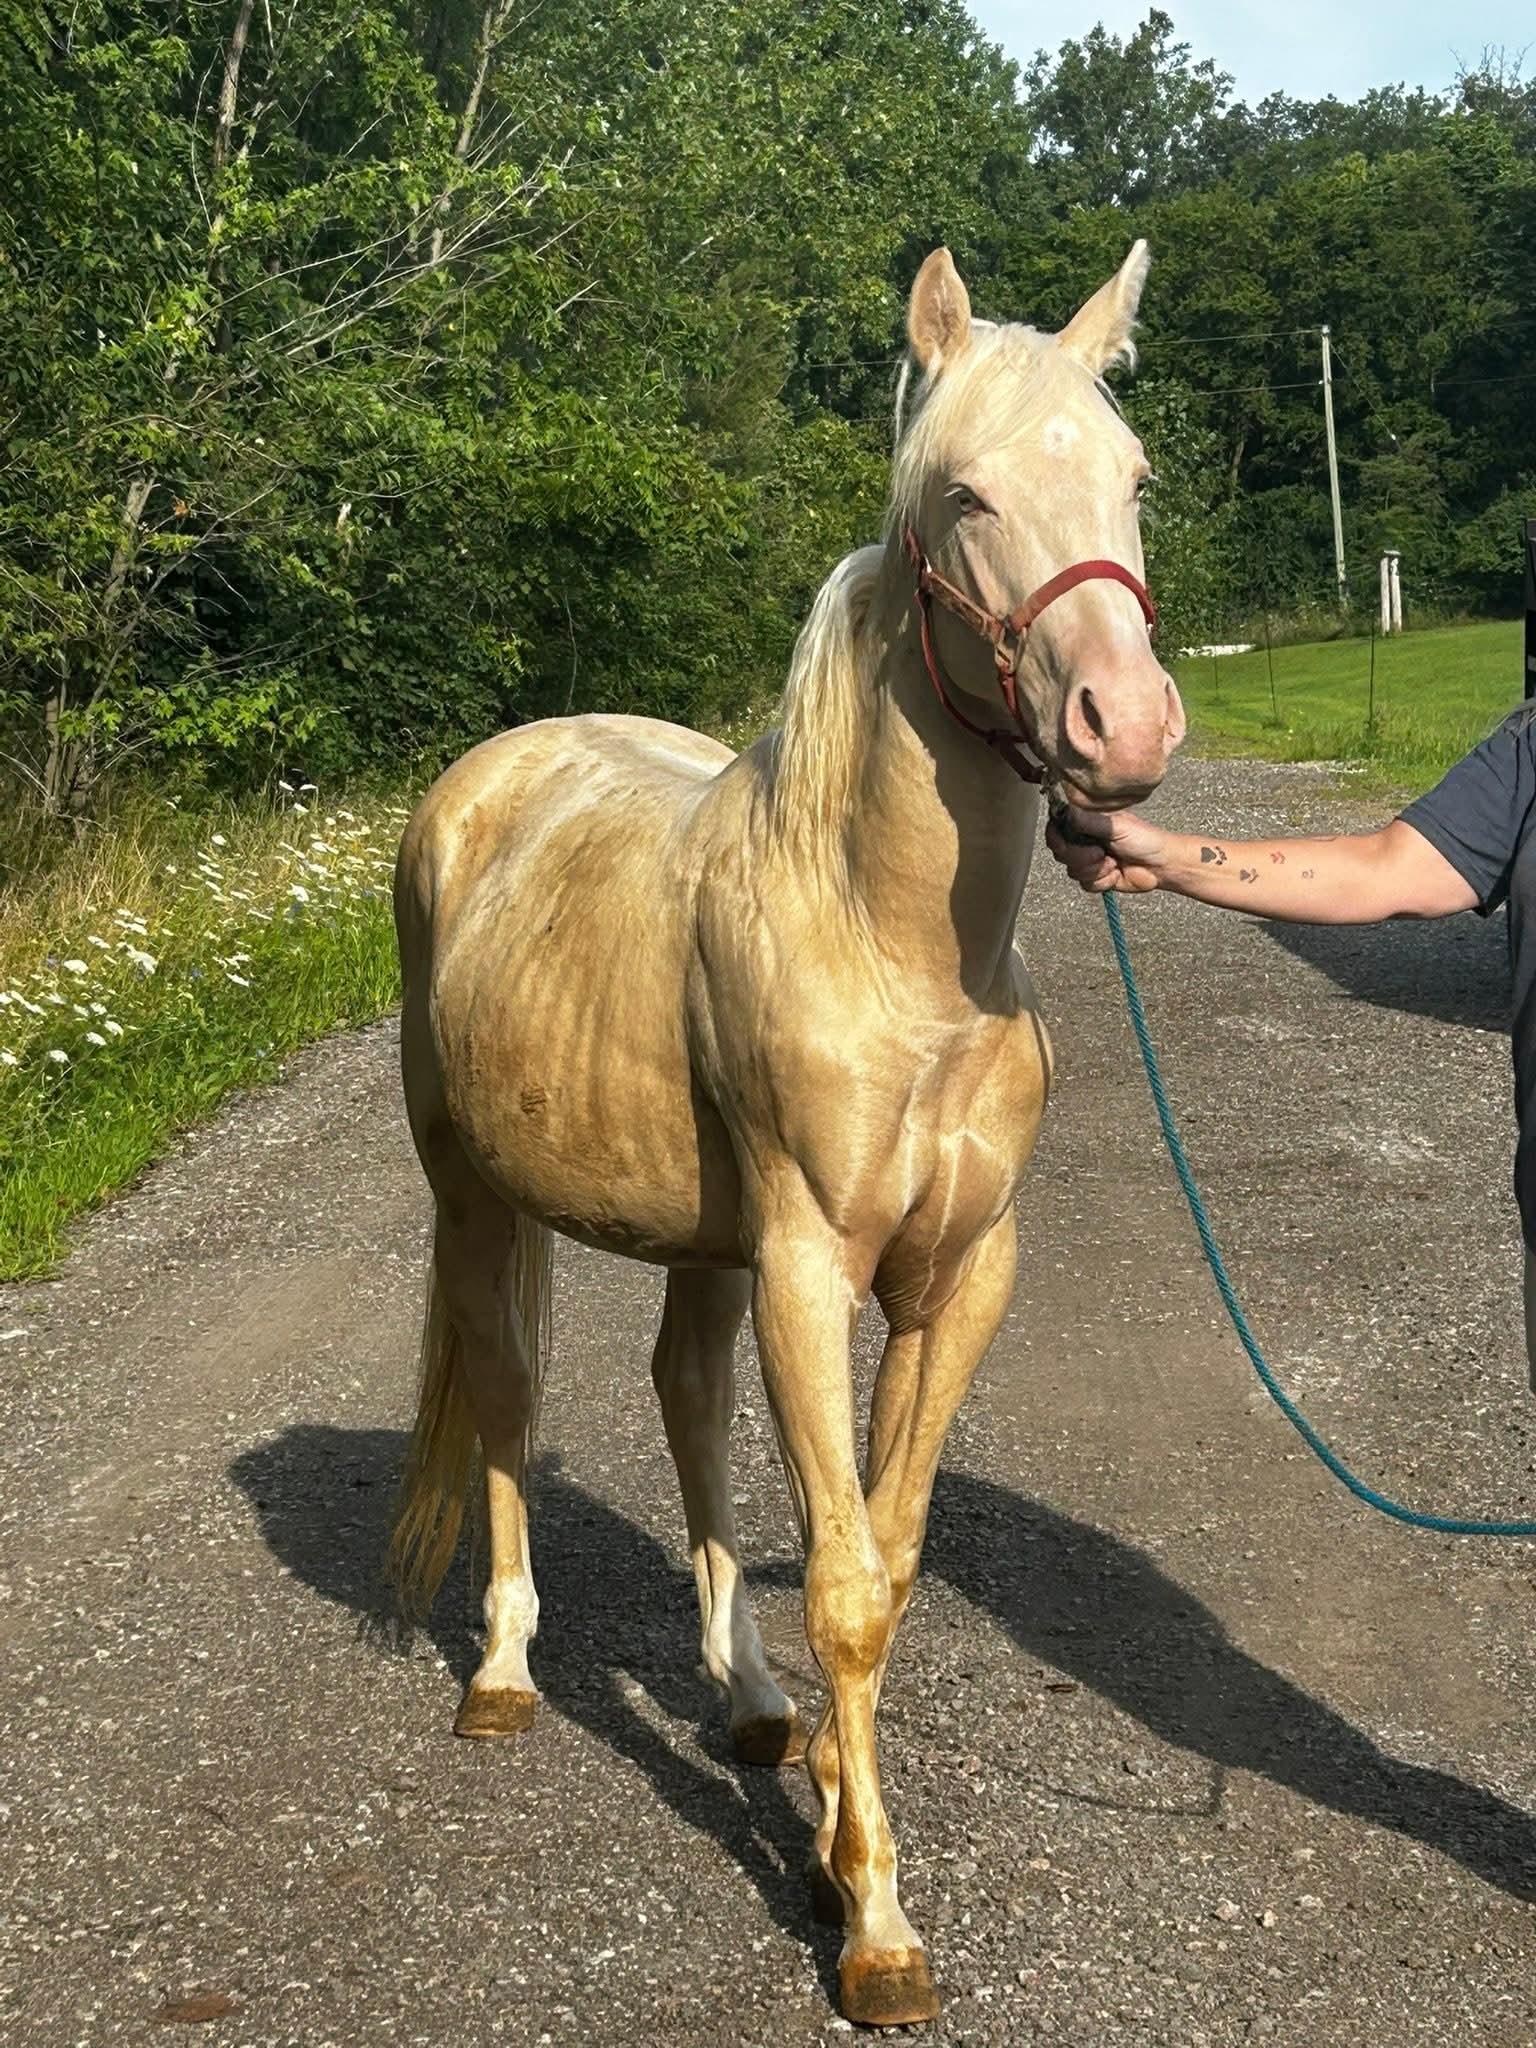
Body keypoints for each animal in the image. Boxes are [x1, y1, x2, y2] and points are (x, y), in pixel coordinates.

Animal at [389, 242, 1183, 2027]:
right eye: (963, 494)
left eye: (1131, 479)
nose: (1127, 728)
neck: (894, 950)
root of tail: (483, 784)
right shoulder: (813, 1274)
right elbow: (842, 1585)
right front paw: (875, 1923)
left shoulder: (958, 1277)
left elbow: (885, 1558)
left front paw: (823, 1806)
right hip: (476, 1195)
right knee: (507, 1399)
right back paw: (503, 1672)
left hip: (699, 1239)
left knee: (682, 1398)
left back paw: (748, 1707)